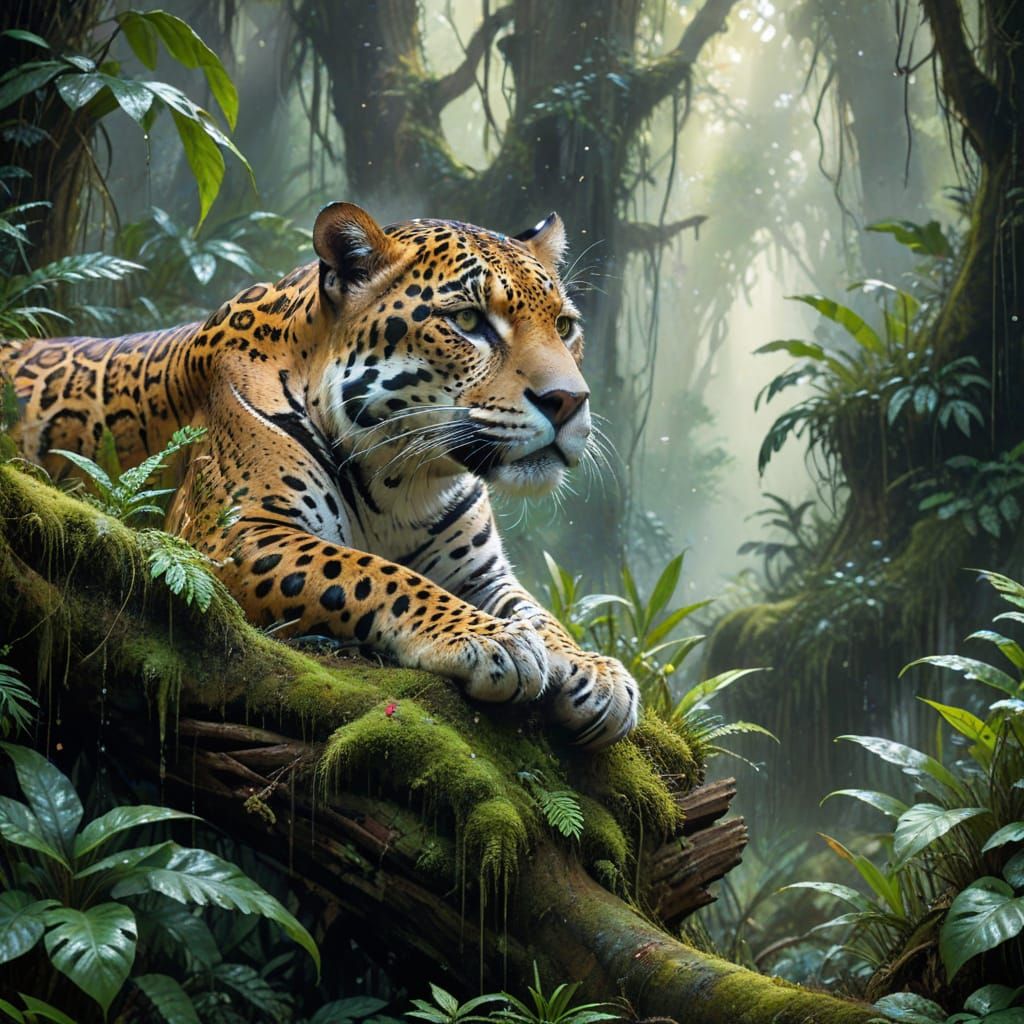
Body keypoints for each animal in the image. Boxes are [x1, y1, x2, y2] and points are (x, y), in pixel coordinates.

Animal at [1, 202, 639, 748]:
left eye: (564, 325)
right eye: (467, 320)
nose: (570, 401)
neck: (404, 480)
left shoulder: (481, 573)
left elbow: (537, 610)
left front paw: (597, 672)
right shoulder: (228, 538)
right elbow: (374, 573)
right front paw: (486, 638)